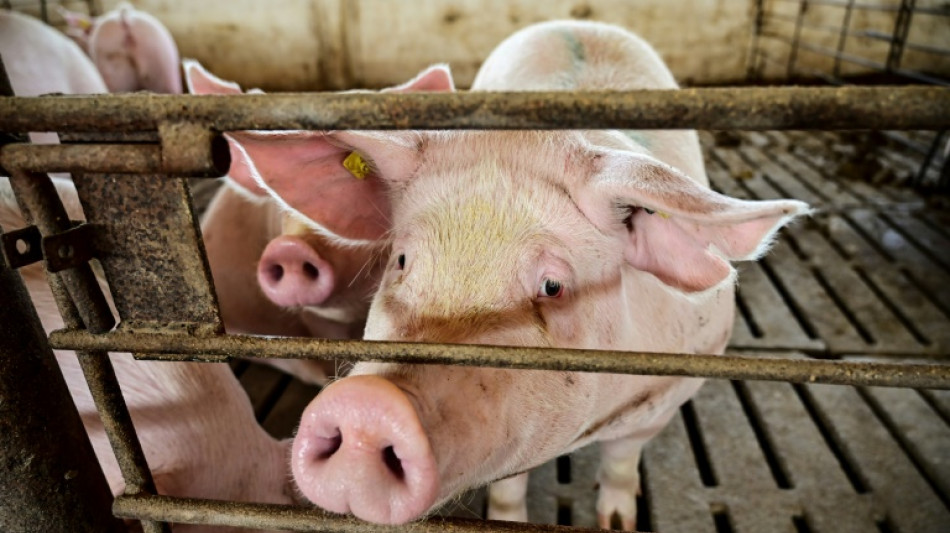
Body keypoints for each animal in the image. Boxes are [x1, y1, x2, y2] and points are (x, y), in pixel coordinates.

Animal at [224, 20, 810, 529]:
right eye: (402, 261)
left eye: (553, 286)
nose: (366, 404)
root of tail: (576, 22)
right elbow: (509, 486)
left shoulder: (664, 397)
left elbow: (621, 463)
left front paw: (617, 522)